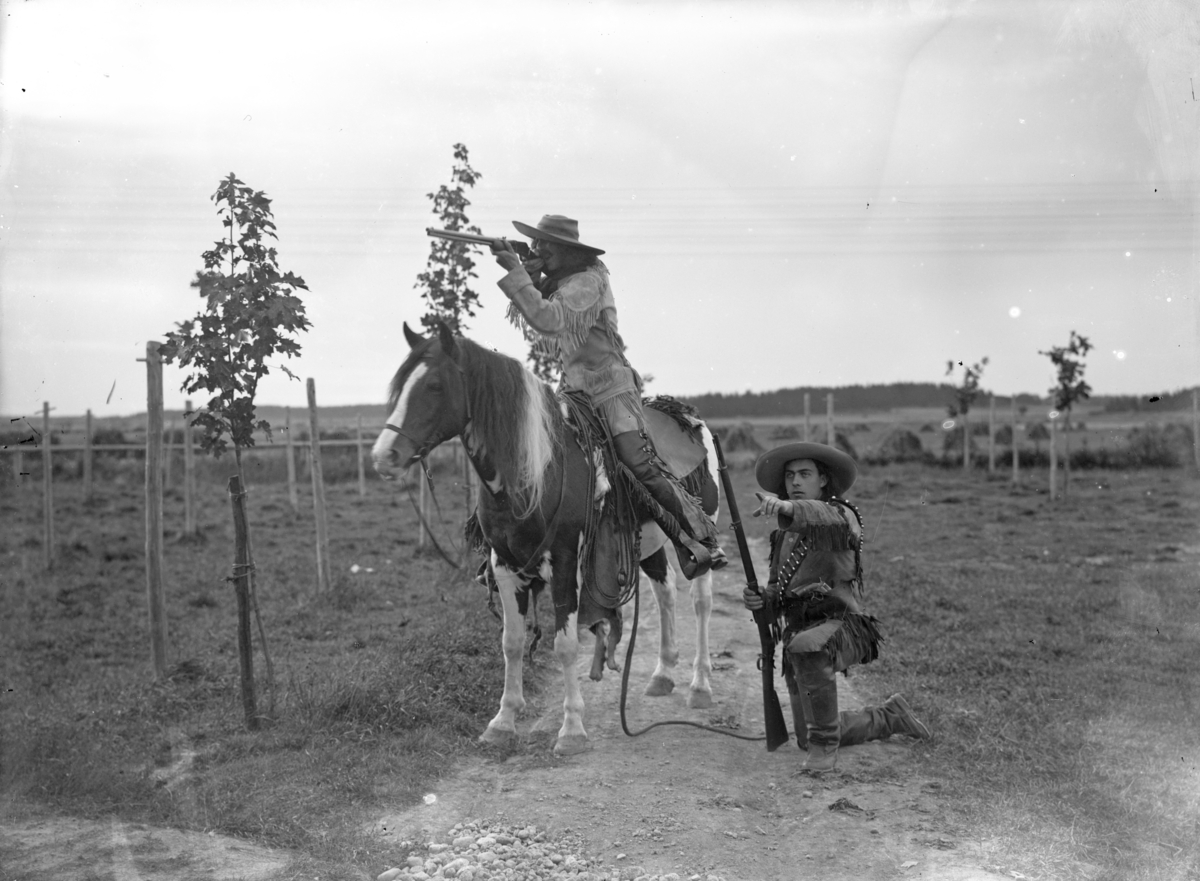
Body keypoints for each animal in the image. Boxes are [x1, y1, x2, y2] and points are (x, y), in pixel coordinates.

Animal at [369, 324, 715, 758]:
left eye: (433, 385)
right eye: (400, 386)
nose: (384, 456)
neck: (535, 471)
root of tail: (687, 416)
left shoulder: (566, 566)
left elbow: (565, 644)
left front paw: (572, 729)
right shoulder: (504, 568)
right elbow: (512, 642)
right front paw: (503, 721)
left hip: (699, 536)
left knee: (700, 601)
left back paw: (700, 685)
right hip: (647, 543)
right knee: (665, 591)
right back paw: (663, 673)